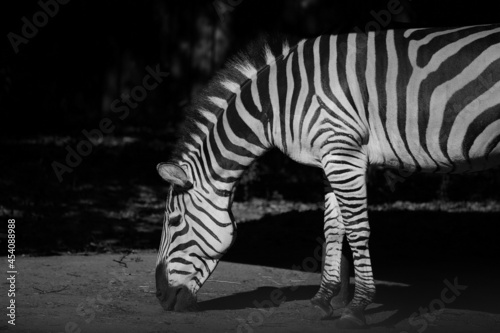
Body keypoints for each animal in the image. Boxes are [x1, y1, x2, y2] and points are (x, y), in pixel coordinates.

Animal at [155, 24, 500, 326]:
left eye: (174, 221)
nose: (159, 296)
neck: (276, 103)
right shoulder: (331, 157)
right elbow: (333, 228)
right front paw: (323, 300)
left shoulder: (342, 151)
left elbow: (357, 230)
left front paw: (357, 308)